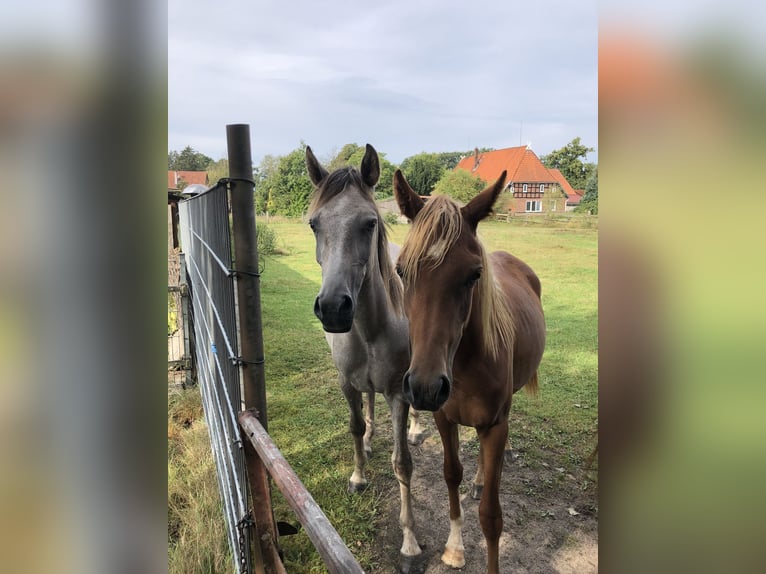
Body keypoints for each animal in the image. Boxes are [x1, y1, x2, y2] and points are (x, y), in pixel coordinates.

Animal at [306, 144, 426, 568]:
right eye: (314, 224)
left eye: (370, 223)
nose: (333, 308)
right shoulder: (347, 383)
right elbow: (355, 426)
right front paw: (358, 476)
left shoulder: (398, 393)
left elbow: (402, 463)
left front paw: (410, 543)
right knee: (369, 405)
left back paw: (417, 429)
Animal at [396, 171, 544, 574]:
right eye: (401, 271)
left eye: (473, 274)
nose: (426, 387)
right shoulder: (444, 420)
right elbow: (451, 475)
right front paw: (455, 548)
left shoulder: (496, 425)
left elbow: (491, 517)